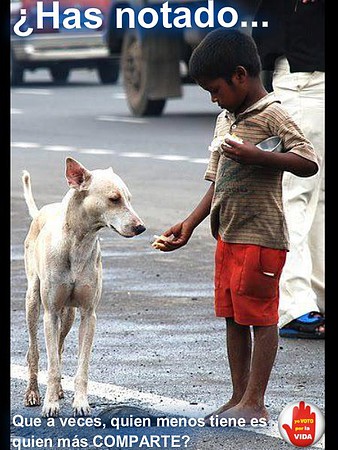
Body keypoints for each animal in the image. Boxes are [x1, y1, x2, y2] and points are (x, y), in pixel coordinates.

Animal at [21, 156, 146, 416]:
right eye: (114, 199)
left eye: (129, 198)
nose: (141, 227)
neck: (77, 244)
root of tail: (43, 211)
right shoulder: (50, 313)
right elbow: (52, 365)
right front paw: (49, 405)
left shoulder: (89, 314)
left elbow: (82, 365)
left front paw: (80, 402)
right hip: (33, 301)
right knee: (34, 351)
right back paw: (33, 392)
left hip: (68, 314)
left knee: (58, 347)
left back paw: (59, 390)